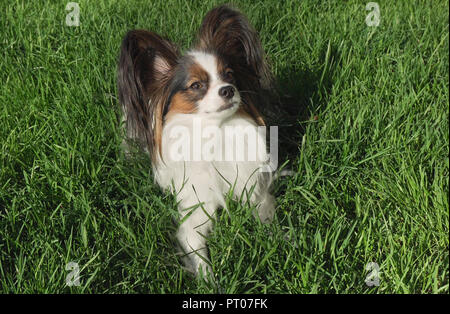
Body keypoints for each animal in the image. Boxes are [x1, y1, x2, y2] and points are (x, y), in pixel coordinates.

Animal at [118, 4, 276, 280]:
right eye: (196, 85)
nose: (228, 90)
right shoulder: (193, 213)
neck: (215, 133)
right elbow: (197, 254)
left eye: (229, 75)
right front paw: (209, 281)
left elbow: (267, 219)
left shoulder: (254, 190)